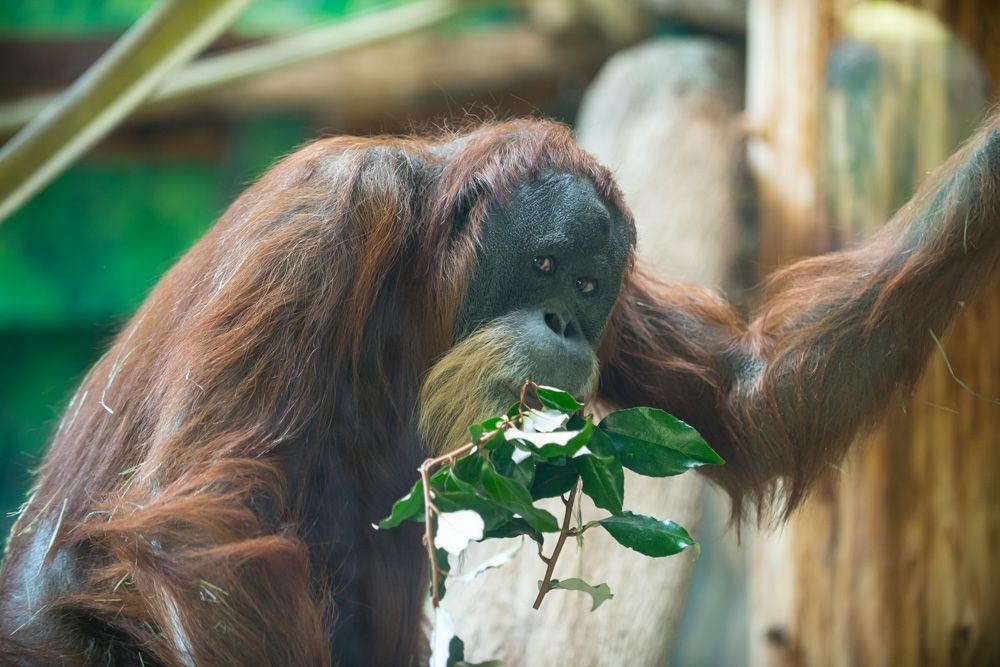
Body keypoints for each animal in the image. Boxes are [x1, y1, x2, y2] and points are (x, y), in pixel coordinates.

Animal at [0, 115, 996, 665]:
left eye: (587, 287)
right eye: (544, 265)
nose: (562, 321)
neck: (412, 286)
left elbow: (752, 398)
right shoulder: (326, 214)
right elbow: (203, 523)